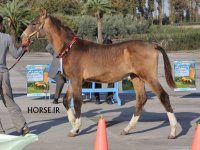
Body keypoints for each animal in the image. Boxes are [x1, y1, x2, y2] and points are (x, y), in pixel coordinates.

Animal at [21, 9, 177, 138]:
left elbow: (77, 103)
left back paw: (173, 132)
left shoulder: (77, 80)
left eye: (34, 23)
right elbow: (66, 100)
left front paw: (75, 128)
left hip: (148, 77)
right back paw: (127, 129)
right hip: (136, 77)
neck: (70, 48)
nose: (22, 39)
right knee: (141, 99)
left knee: (163, 96)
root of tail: (153, 44)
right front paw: (73, 125)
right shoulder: (74, 80)